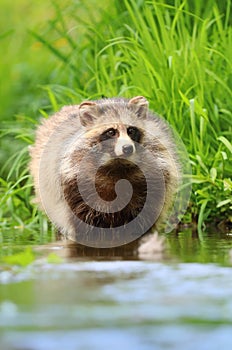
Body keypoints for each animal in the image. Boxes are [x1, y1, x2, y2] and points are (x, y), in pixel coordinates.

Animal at [29, 96, 179, 246]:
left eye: (131, 130)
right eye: (111, 132)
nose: (127, 148)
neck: (117, 166)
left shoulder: (153, 182)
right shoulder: (75, 186)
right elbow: (82, 223)